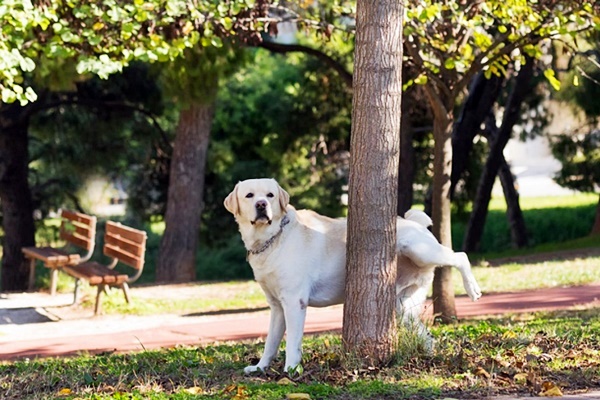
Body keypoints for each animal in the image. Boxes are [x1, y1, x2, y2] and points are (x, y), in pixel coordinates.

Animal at [225, 178, 482, 372]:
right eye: (249, 195)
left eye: (269, 195)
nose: (261, 205)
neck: (272, 238)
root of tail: (413, 221)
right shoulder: (277, 307)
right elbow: (270, 342)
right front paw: (260, 367)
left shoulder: (294, 302)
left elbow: (292, 342)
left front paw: (291, 370)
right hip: (403, 305)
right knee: (427, 336)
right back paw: (427, 357)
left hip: (420, 250)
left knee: (460, 256)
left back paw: (473, 288)